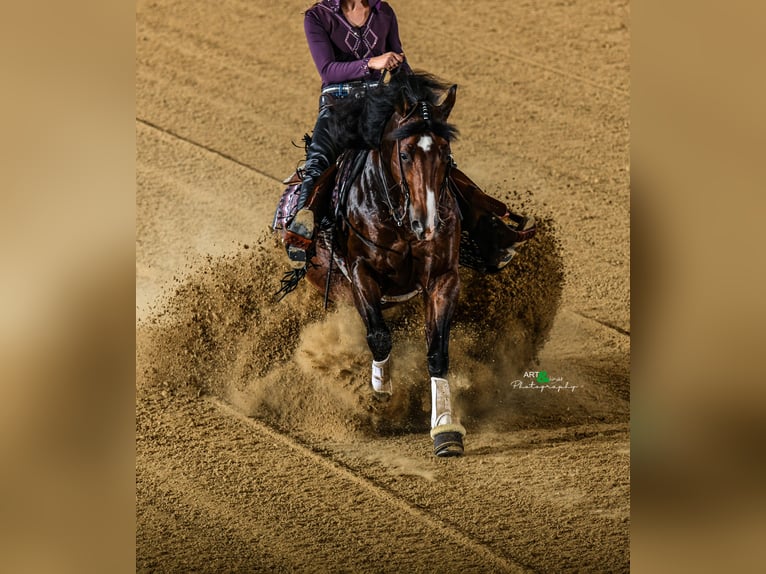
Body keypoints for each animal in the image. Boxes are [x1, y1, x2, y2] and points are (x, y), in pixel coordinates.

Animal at [272, 73, 472, 460]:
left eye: (445, 153)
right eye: (405, 153)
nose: (427, 223)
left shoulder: (444, 279)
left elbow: (437, 350)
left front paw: (445, 429)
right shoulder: (360, 275)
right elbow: (379, 336)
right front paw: (380, 391)